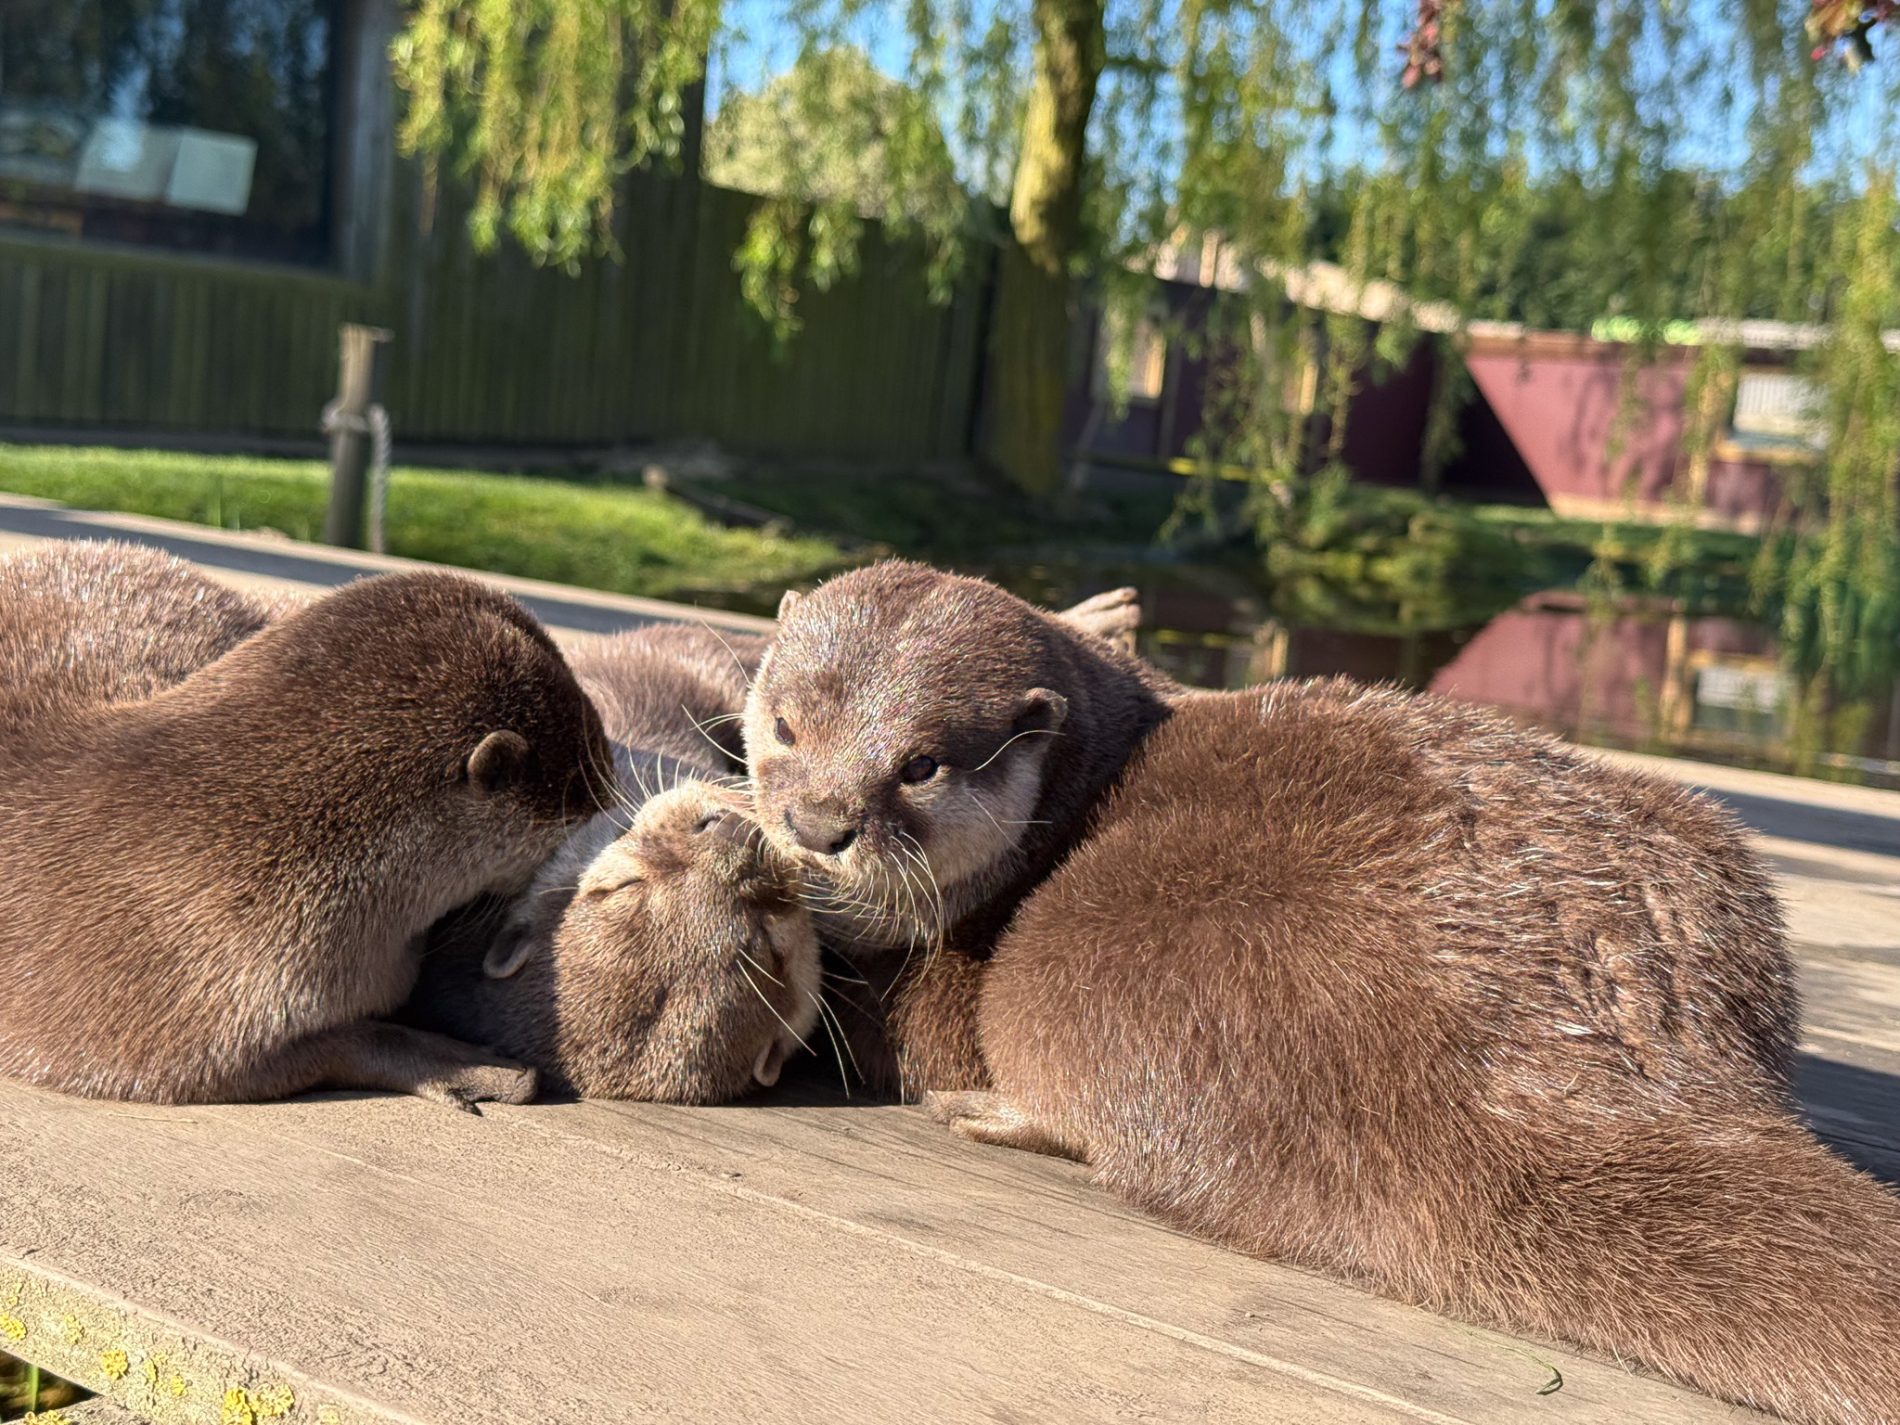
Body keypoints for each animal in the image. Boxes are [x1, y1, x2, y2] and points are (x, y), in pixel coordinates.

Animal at [743, 562, 1898, 1425]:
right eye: (786, 725)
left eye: (922, 764)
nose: (818, 822)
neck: (1084, 777)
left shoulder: (969, 947)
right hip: (1716, 866)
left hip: (1102, 954)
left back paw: (995, 1111)